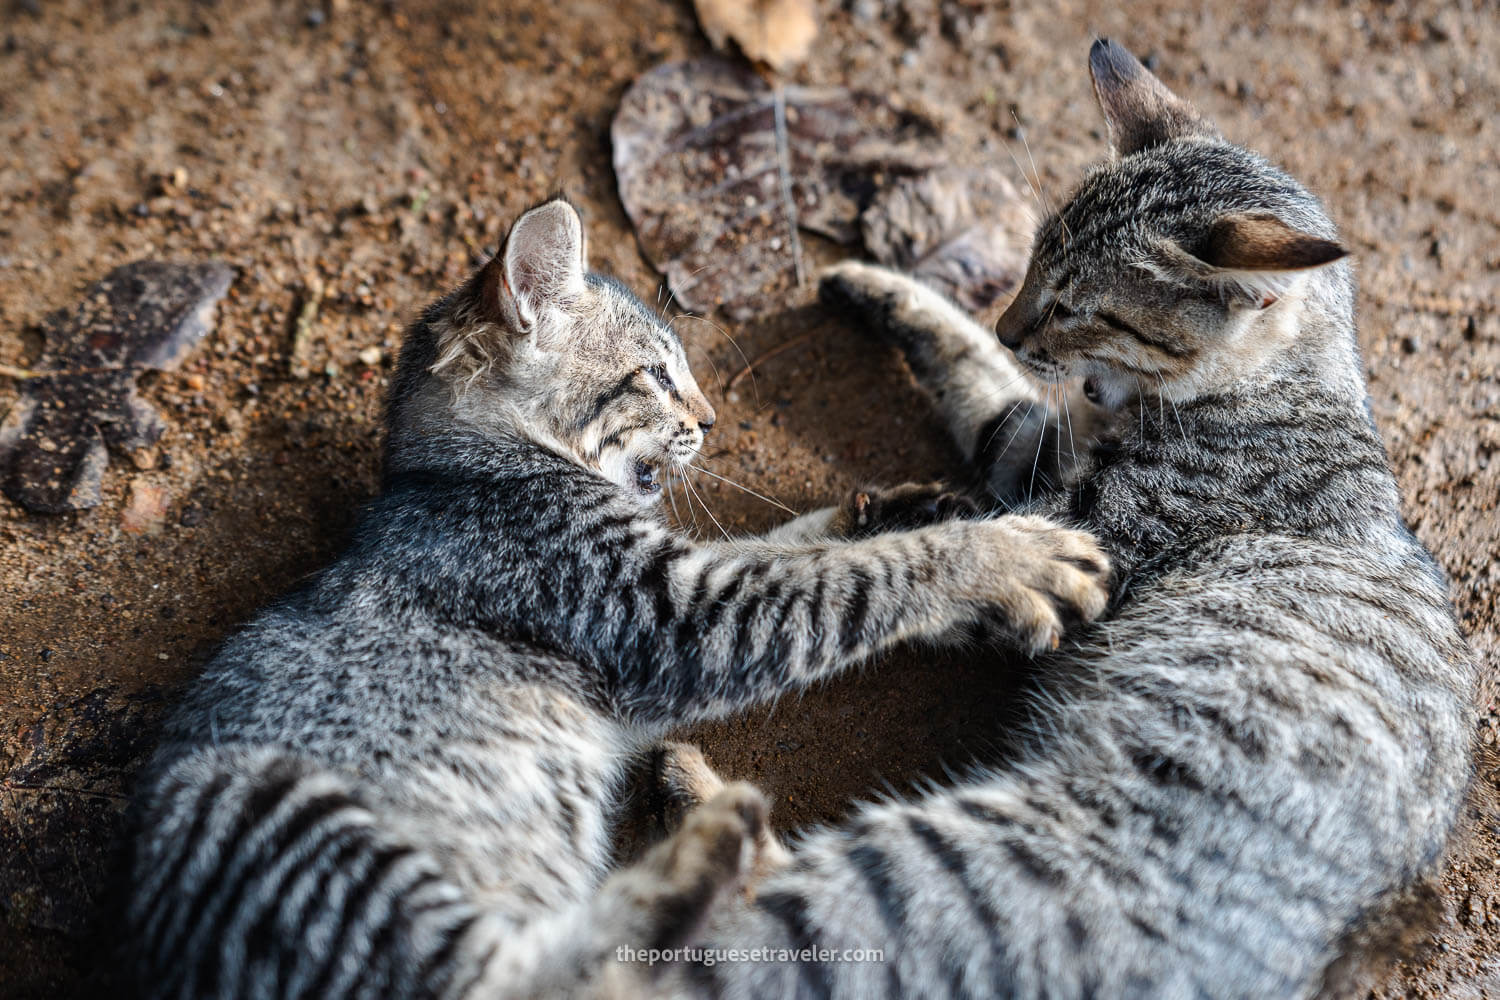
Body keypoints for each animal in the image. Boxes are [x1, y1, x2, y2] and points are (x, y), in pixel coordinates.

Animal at [126, 199, 1116, 995]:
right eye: (656, 373)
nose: (711, 418)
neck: (459, 470)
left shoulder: (683, 582)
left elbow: (790, 544)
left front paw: (897, 509)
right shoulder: (668, 612)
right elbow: (850, 578)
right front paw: (1003, 555)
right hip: (292, 817)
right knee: (508, 978)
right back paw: (709, 842)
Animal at [672, 39, 1476, 1000]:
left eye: (1080, 307)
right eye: (1028, 261)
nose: (1008, 323)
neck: (1282, 385)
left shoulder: (1069, 513)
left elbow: (933, 536)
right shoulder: (1034, 448)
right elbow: (972, 370)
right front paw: (878, 287)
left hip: (952, 865)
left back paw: (698, 805)